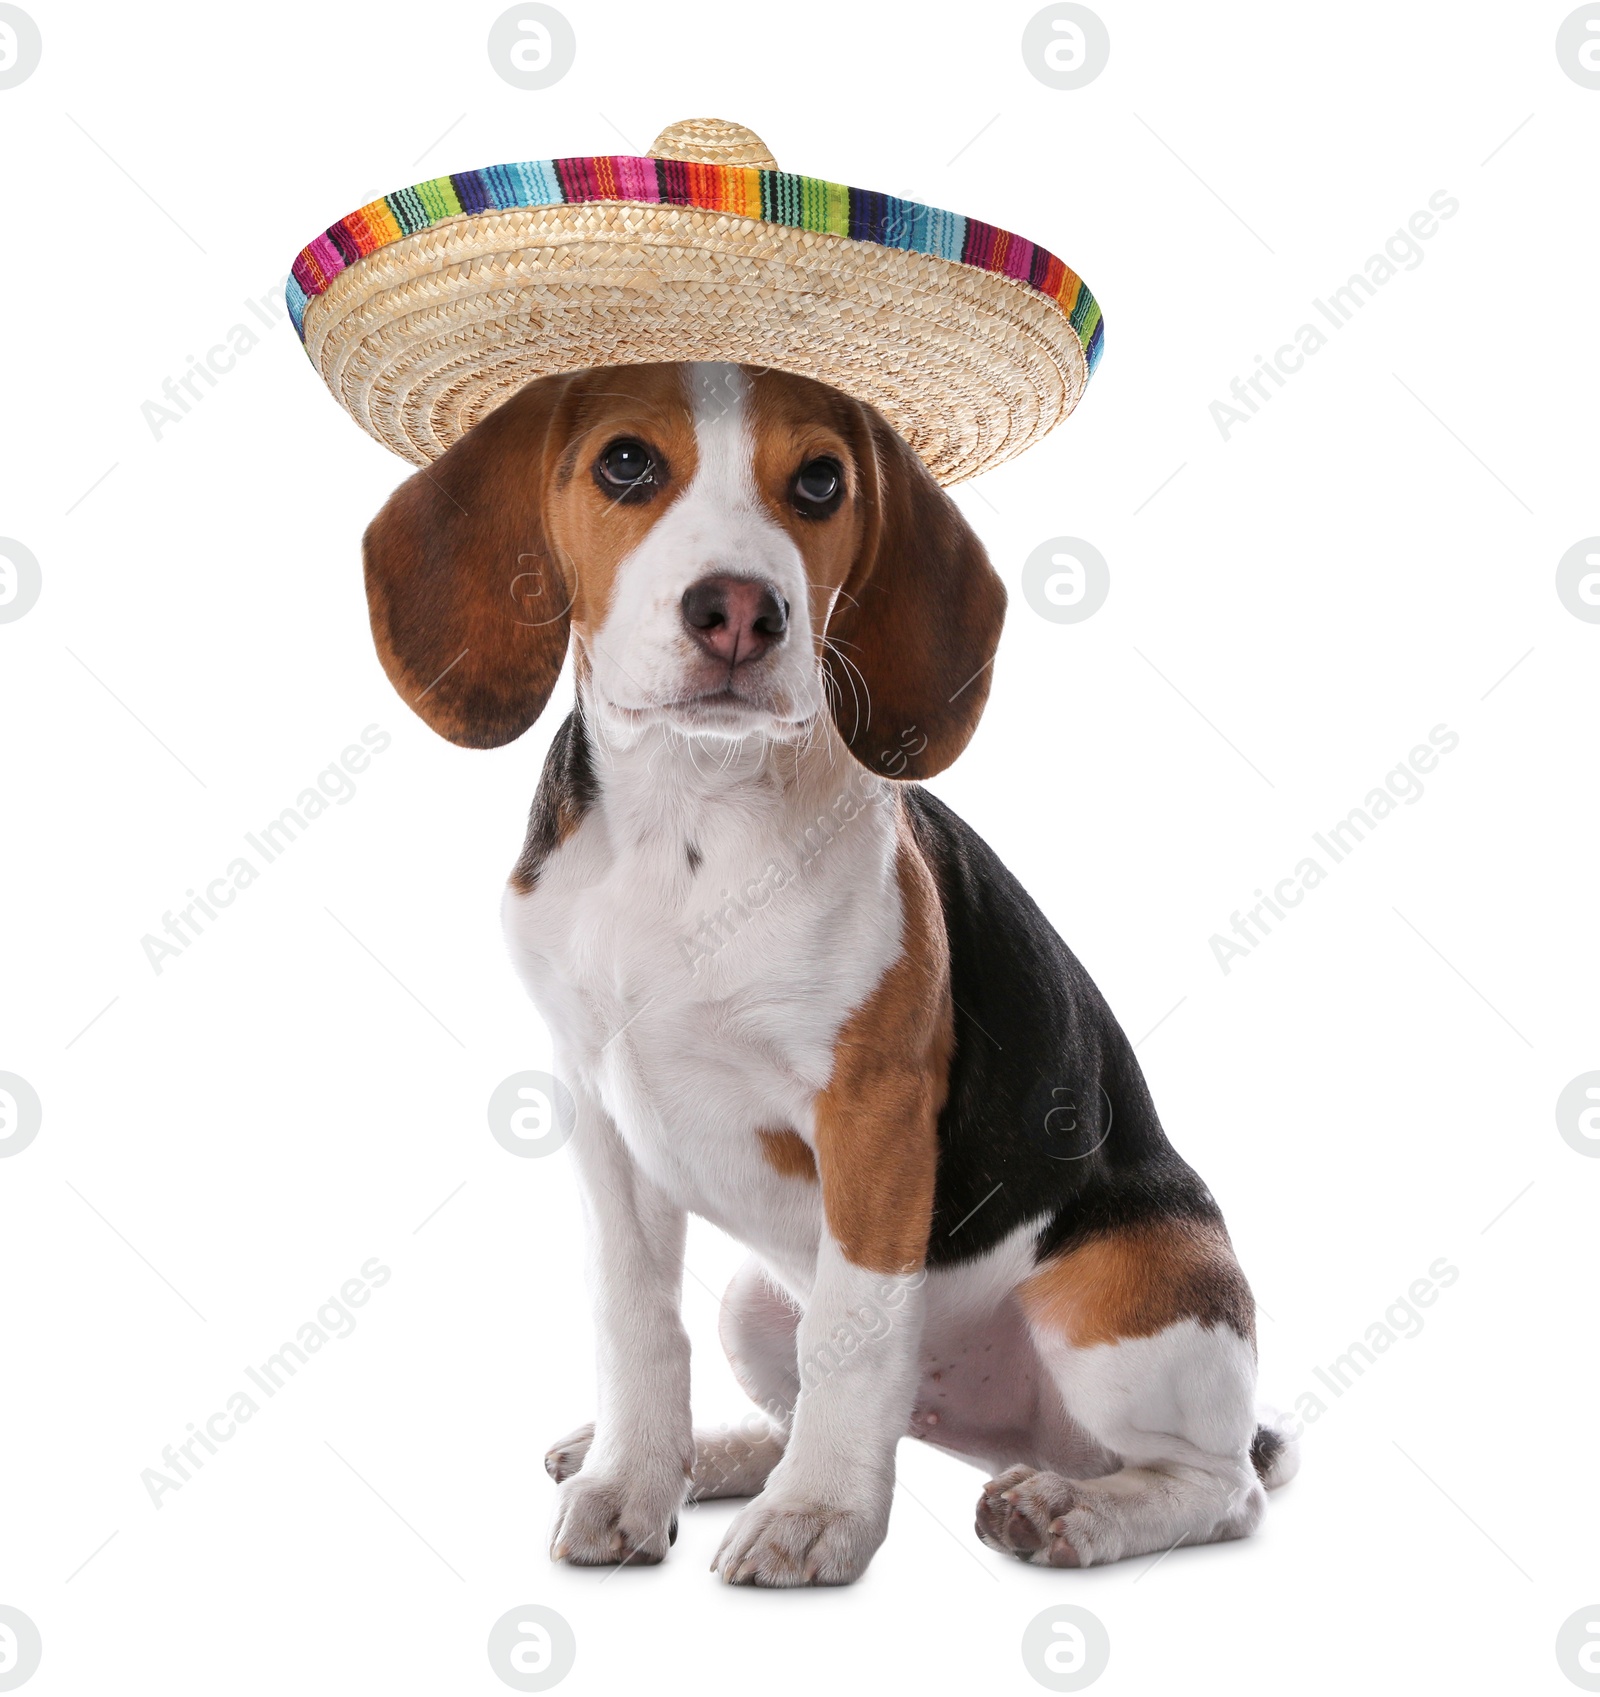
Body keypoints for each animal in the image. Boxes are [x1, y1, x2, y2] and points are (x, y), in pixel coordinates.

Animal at [356, 358, 1296, 1588]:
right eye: (624, 462)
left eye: (819, 480)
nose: (740, 610)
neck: (691, 810)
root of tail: (999, 1426)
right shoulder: (598, 1110)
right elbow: (637, 1319)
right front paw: (633, 1477)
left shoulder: (873, 1112)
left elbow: (852, 1334)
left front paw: (820, 1516)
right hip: (756, 1303)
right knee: (809, 1387)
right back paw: (711, 1456)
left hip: (1114, 1309)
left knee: (1219, 1484)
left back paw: (1067, 1512)